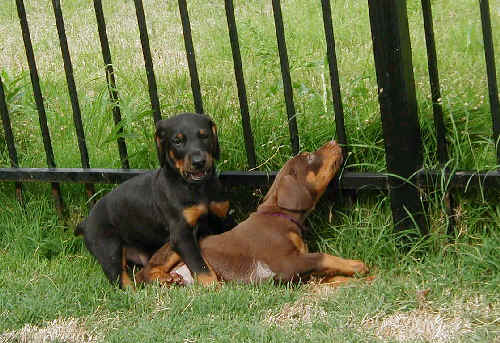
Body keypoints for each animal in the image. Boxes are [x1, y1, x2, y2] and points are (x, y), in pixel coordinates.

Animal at [75, 112, 234, 288]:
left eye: (204, 135)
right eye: (177, 141)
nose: (198, 162)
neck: (198, 189)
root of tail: (85, 222)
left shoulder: (221, 218)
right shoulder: (181, 234)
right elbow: (200, 266)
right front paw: (214, 287)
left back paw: (168, 278)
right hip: (108, 250)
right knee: (124, 282)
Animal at [135, 141, 370, 288]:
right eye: (309, 157)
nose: (334, 142)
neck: (280, 218)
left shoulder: (304, 274)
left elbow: (331, 276)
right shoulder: (286, 263)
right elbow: (322, 256)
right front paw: (357, 265)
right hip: (179, 245)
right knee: (144, 272)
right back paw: (165, 279)